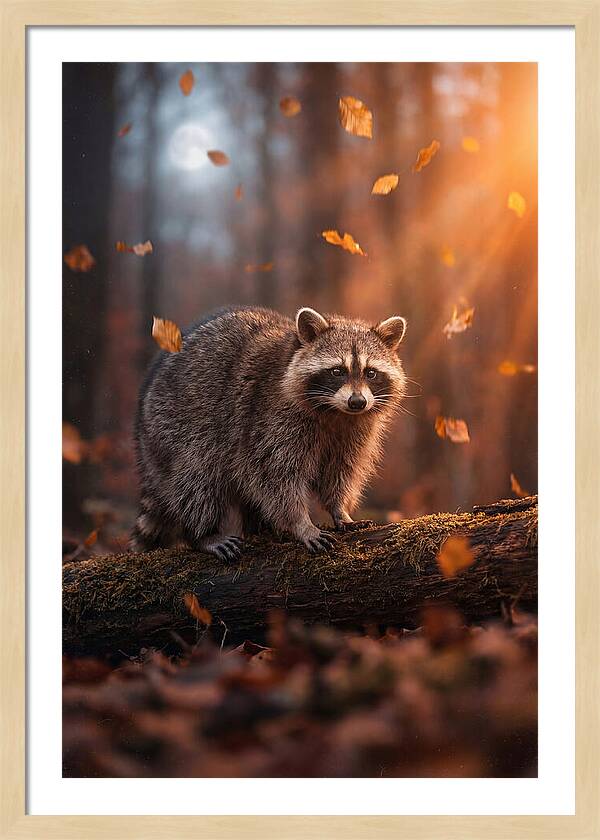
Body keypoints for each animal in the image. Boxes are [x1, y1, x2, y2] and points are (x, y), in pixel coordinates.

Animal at [132, 306, 407, 560]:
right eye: (337, 371)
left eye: (370, 373)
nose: (357, 402)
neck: (336, 412)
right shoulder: (269, 418)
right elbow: (276, 476)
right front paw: (301, 523)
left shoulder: (354, 431)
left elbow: (340, 471)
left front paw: (339, 509)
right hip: (175, 427)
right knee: (197, 478)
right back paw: (203, 533)